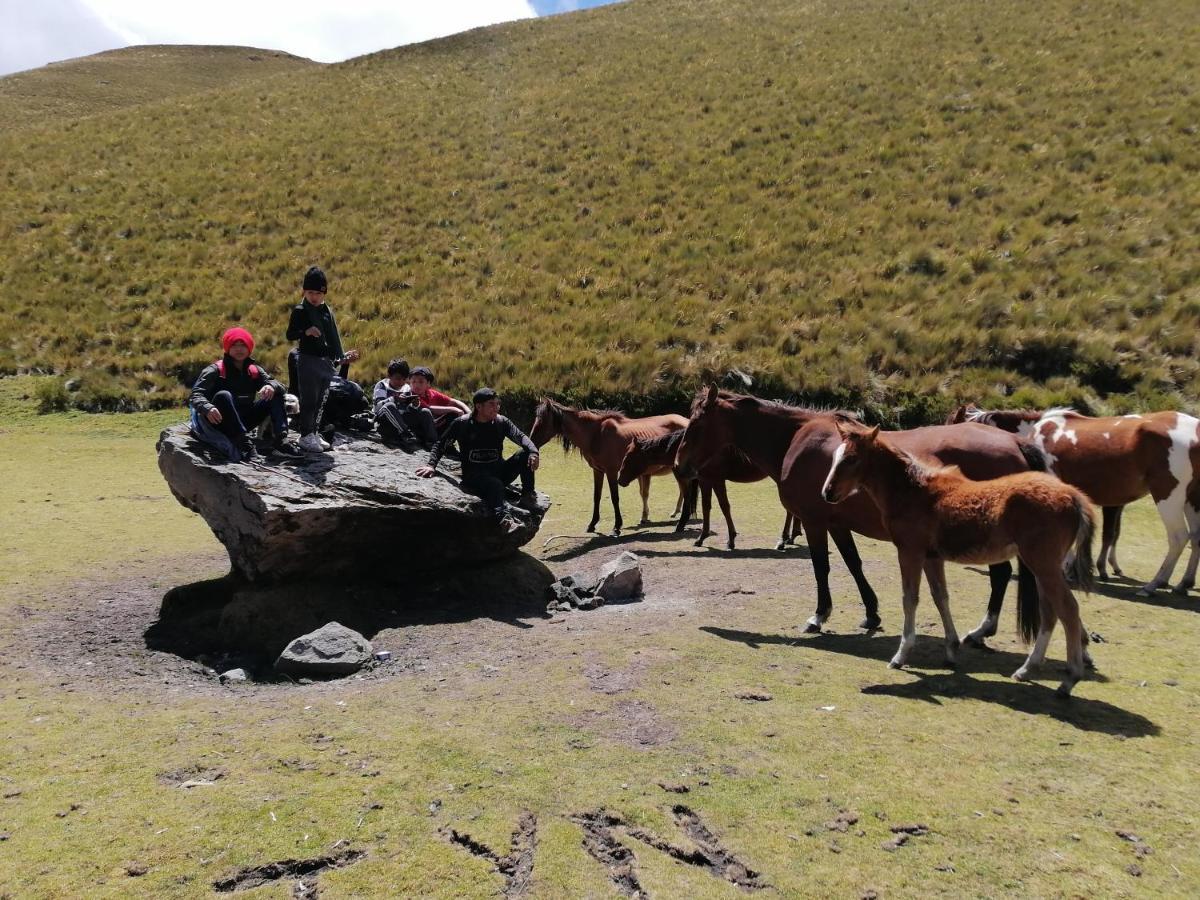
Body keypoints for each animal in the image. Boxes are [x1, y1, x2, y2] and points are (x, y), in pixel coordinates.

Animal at [530, 400, 691, 540]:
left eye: (542, 422)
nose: (531, 441)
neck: (596, 434)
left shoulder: (612, 472)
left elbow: (615, 498)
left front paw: (616, 527)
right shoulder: (598, 471)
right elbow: (597, 496)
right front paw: (592, 524)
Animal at [676, 388, 1051, 633]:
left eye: (695, 425)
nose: (680, 465)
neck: (794, 438)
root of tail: (1014, 442)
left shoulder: (814, 522)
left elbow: (821, 567)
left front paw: (819, 615)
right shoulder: (837, 522)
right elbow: (853, 564)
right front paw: (871, 613)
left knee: (1001, 574)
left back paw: (982, 630)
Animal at [825, 422, 1099, 696]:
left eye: (851, 459)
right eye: (835, 456)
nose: (827, 492)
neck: (913, 491)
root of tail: (1073, 496)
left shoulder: (910, 552)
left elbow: (910, 599)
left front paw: (901, 655)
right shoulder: (932, 558)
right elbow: (940, 597)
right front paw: (951, 650)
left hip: (1042, 564)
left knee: (1068, 609)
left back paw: (1069, 678)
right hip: (1042, 566)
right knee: (1050, 612)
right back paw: (1027, 669)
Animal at [945, 405, 1200, 595]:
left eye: (949, 424)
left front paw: (1066, 569)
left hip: (1168, 497)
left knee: (1178, 538)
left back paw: (1154, 584)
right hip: (1191, 500)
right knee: (1196, 537)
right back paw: (1184, 583)